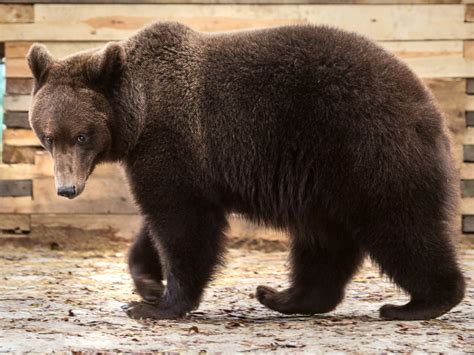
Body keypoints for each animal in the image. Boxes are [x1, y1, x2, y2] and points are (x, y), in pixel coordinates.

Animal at [25, 22, 462, 322]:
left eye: (81, 136)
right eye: (48, 137)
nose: (66, 188)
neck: (138, 114)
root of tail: (428, 105)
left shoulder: (173, 144)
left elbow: (182, 223)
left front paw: (158, 304)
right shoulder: (169, 160)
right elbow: (160, 222)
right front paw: (147, 283)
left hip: (365, 148)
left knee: (400, 226)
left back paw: (420, 302)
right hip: (324, 178)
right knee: (324, 239)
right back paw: (282, 296)